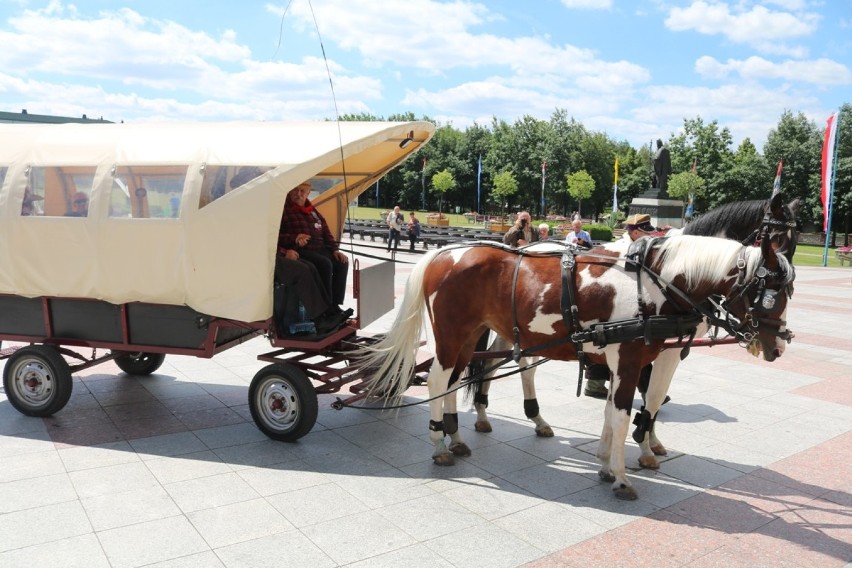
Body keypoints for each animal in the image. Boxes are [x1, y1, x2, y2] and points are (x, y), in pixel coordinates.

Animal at [360, 233, 792, 500]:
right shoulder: (631, 359)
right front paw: (621, 474)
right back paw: (438, 442)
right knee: (437, 380)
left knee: (458, 376)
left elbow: (615, 410)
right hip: (452, 335)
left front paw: (608, 462)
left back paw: (456, 436)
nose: (779, 345)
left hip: (470, 336)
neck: (653, 286)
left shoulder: (626, 361)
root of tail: (445, 252)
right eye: (771, 292)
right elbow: (625, 412)